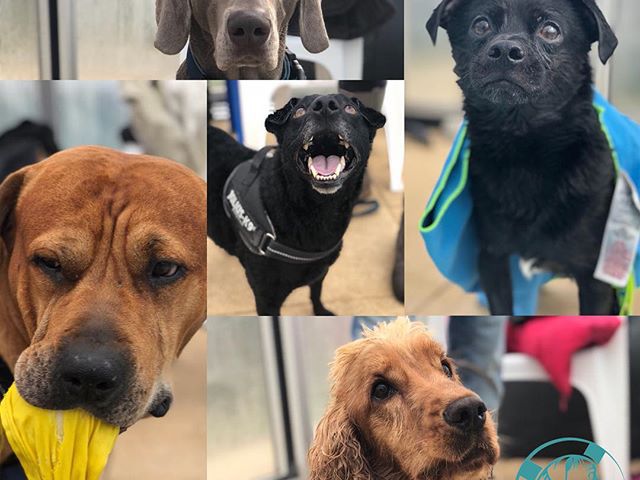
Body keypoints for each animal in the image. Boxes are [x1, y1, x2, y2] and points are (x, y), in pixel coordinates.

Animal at [209, 94, 384, 316]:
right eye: (298, 112)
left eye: (350, 109)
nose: (325, 105)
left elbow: (316, 293)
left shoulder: (321, 271)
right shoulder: (267, 299)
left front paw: (320, 311)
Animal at [428, 0, 624, 316]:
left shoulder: (597, 282)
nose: (505, 49)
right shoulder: (492, 259)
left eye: (550, 31)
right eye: (480, 25)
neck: (524, 152)